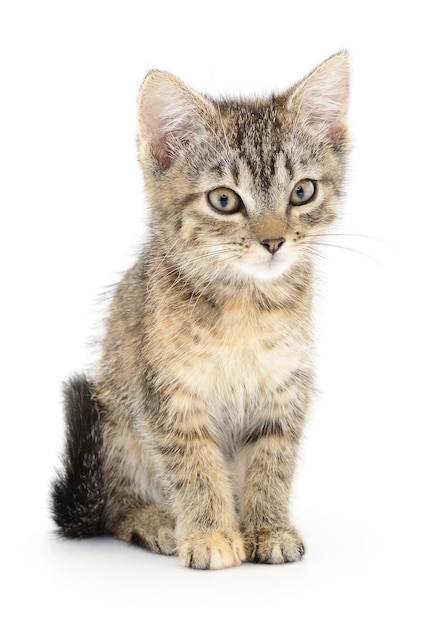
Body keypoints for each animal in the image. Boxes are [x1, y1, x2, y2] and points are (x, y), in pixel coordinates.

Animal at [51, 52, 350, 572]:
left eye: (302, 192)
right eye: (224, 199)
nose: (274, 241)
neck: (245, 303)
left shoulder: (285, 388)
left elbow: (273, 460)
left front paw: (267, 527)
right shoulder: (167, 393)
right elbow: (194, 465)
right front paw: (210, 533)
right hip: (113, 421)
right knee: (114, 507)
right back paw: (154, 521)